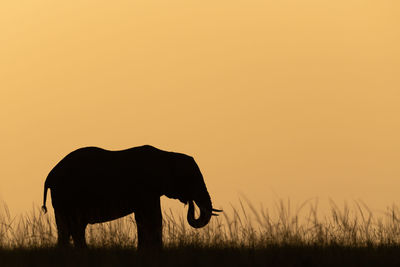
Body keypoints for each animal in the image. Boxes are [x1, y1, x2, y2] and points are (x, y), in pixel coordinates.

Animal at [41, 146, 222, 250]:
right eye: (192, 179)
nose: (190, 202)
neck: (167, 155)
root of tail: (49, 175)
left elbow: (144, 219)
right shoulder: (147, 189)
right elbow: (153, 218)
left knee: (69, 228)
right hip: (67, 195)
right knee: (74, 227)